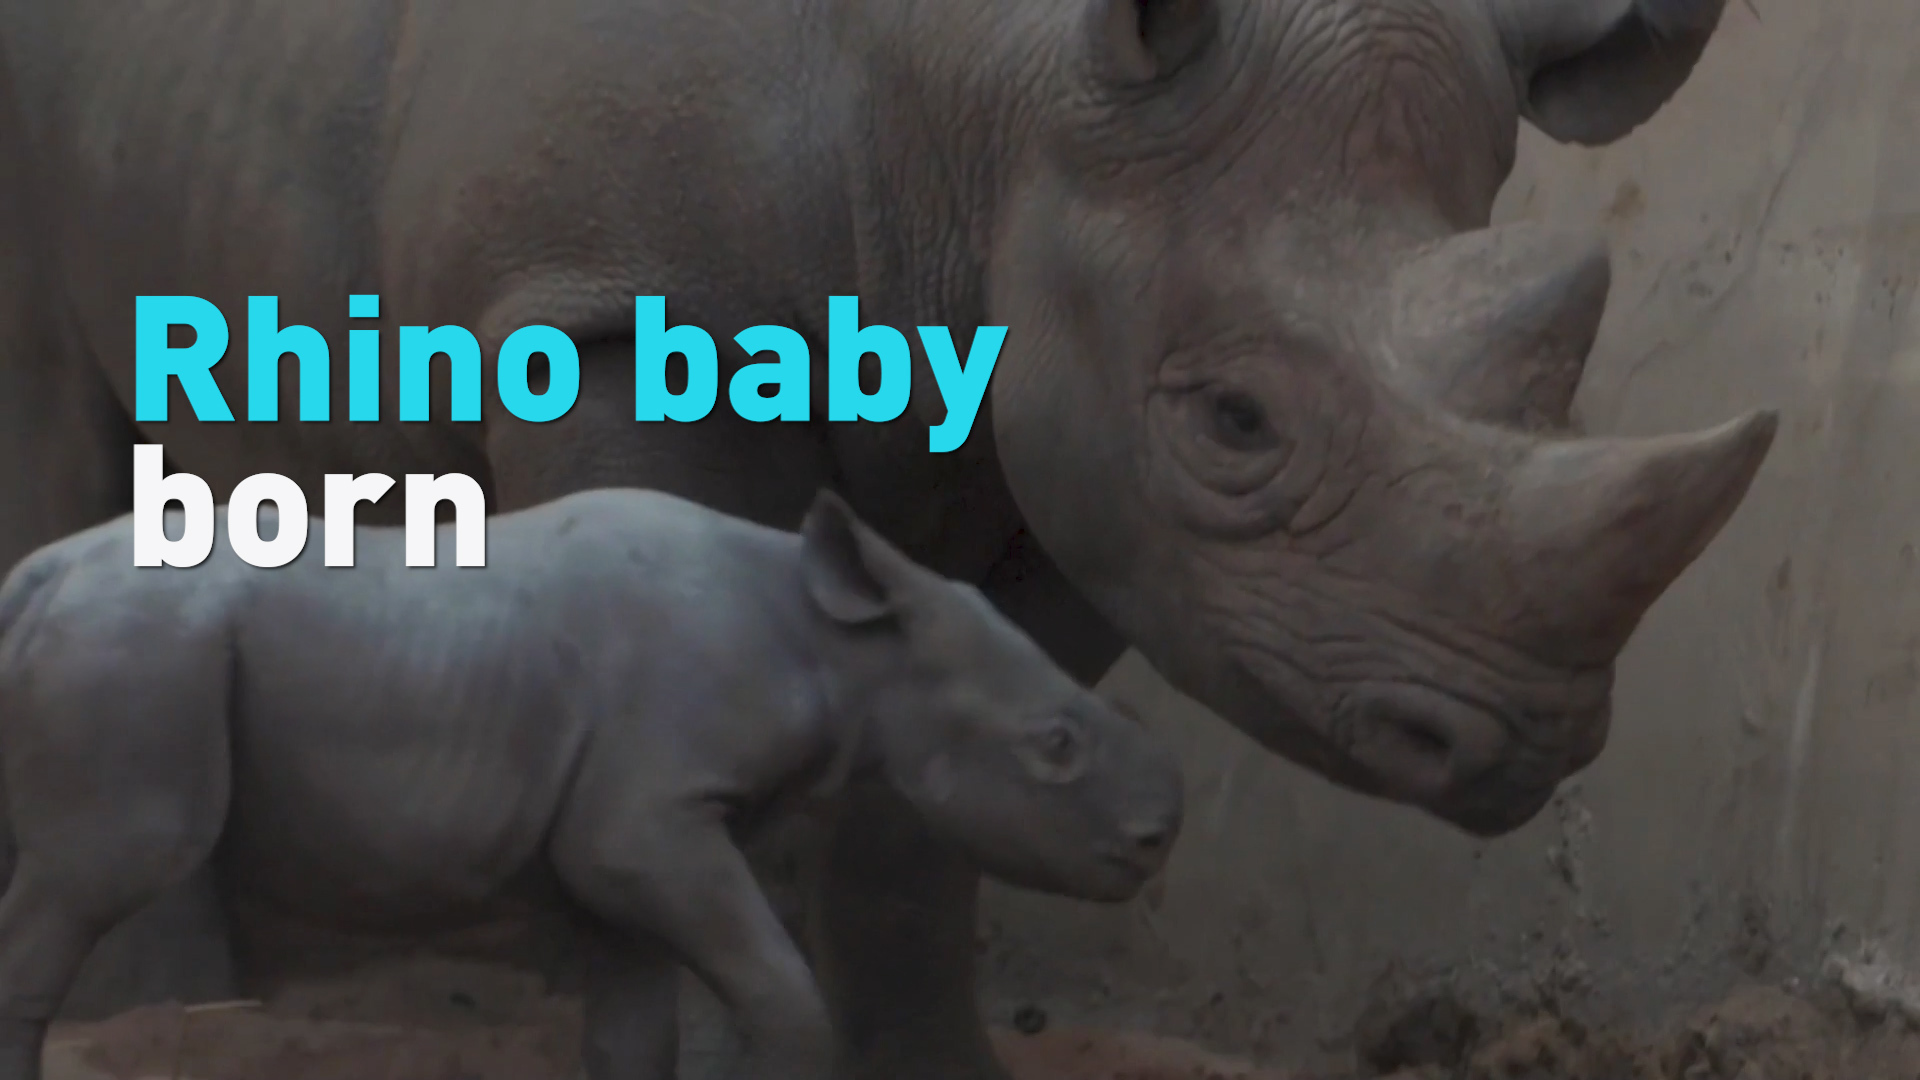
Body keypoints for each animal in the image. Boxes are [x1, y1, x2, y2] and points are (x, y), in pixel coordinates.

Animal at [0, 488, 1185, 1080]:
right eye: (1055, 744)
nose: (1158, 837)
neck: (846, 644)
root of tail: (37, 572)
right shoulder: (647, 820)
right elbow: (784, 997)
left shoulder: (616, 844)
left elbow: (631, 1034)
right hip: (136, 645)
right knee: (108, 868)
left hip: (124, 641)